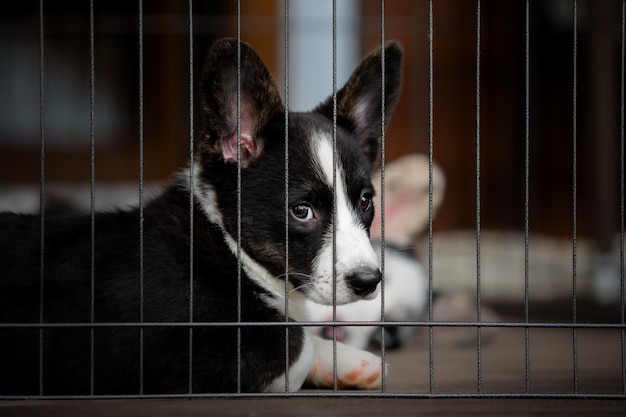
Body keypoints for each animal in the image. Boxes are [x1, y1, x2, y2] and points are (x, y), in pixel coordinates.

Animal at [0, 38, 400, 394]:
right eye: (301, 211)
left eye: (366, 201)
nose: (369, 282)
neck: (227, 245)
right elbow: (294, 342)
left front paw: (352, 363)